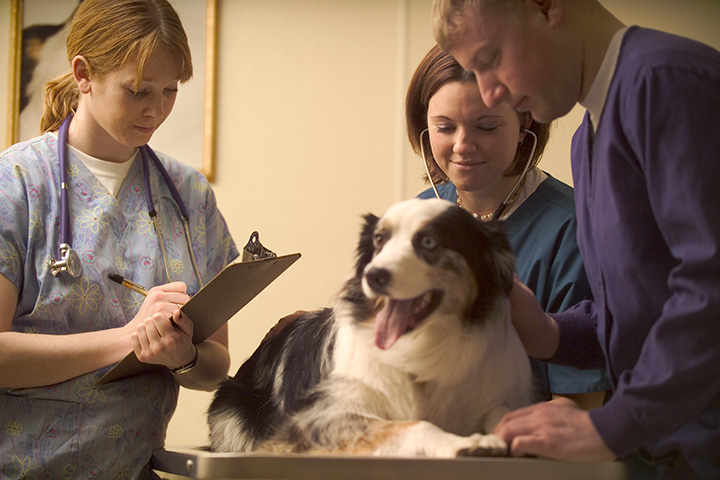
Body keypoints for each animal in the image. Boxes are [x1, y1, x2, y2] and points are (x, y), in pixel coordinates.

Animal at [205, 198, 532, 458]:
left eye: (429, 242)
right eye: (379, 240)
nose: (373, 275)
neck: (419, 344)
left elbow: (502, 411)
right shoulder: (319, 418)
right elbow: (416, 425)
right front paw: (462, 443)